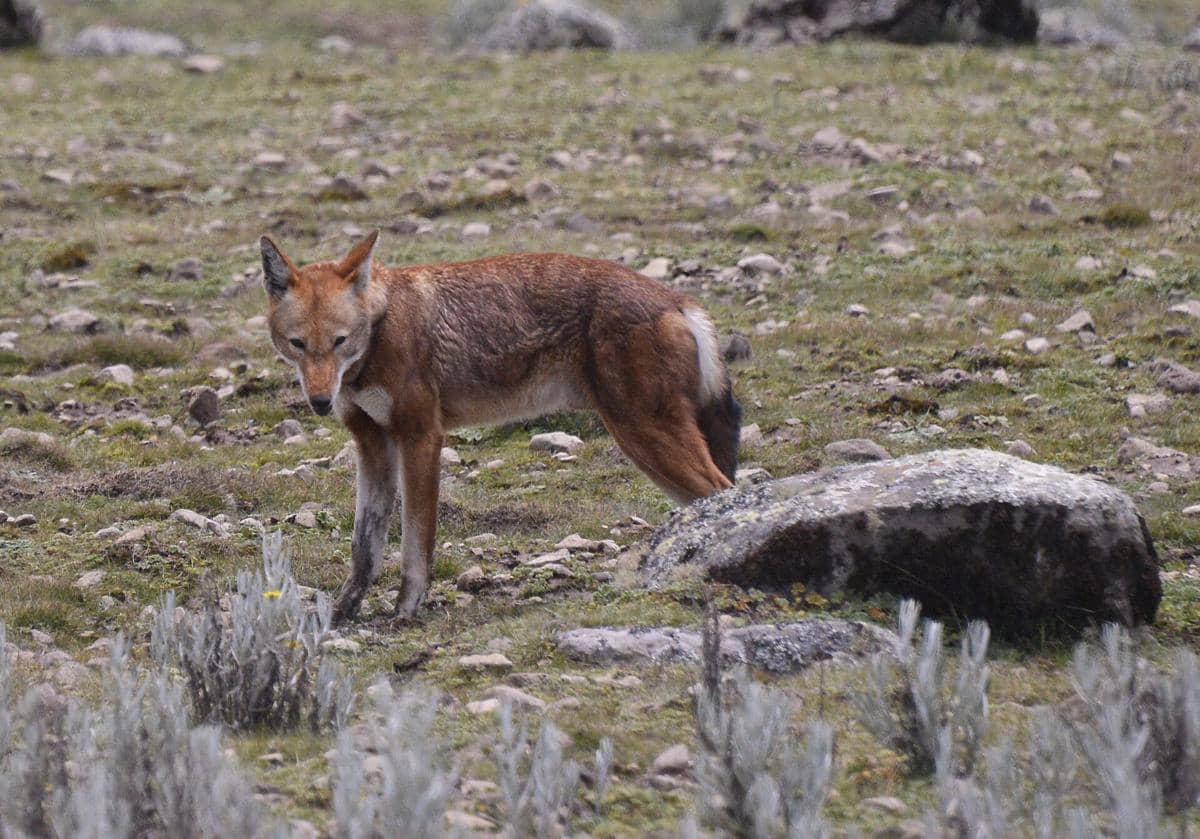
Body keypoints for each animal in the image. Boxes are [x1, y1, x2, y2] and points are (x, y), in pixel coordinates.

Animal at [261, 230, 741, 622]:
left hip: (645, 438)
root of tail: (678, 300)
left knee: (725, 493)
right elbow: (364, 550)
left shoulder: (422, 437)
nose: (320, 402)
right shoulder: (372, 445)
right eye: (297, 344)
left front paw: (406, 611)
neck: (381, 329)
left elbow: (415, 545)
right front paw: (343, 612)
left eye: (339, 342)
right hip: (650, 451)